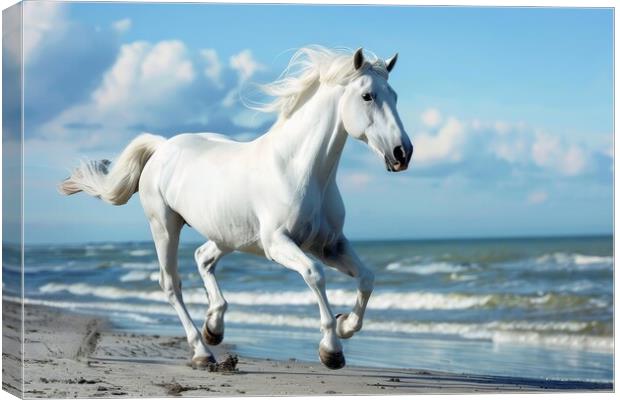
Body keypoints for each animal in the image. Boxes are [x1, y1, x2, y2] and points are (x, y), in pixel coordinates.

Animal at [60, 46, 414, 368]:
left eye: (395, 96)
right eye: (368, 96)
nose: (403, 153)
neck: (300, 170)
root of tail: (162, 147)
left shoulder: (330, 244)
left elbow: (367, 278)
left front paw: (345, 325)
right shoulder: (278, 244)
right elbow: (315, 275)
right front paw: (331, 349)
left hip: (228, 234)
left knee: (202, 258)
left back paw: (214, 327)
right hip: (164, 226)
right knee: (171, 284)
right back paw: (202, 351)